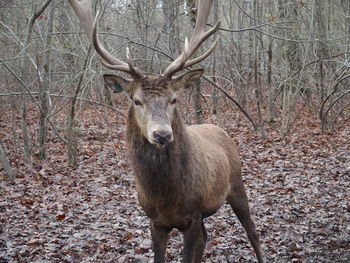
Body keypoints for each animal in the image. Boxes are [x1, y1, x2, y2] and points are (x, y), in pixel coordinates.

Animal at [68, 0, 264, 263]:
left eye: (174, 99)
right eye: (137, 100)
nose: (161, 134)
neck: (166, 197)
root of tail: (219, 129)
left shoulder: (193, 214)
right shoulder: (155, 221)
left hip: (236, 183)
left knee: (252, 231)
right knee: (206, 238)